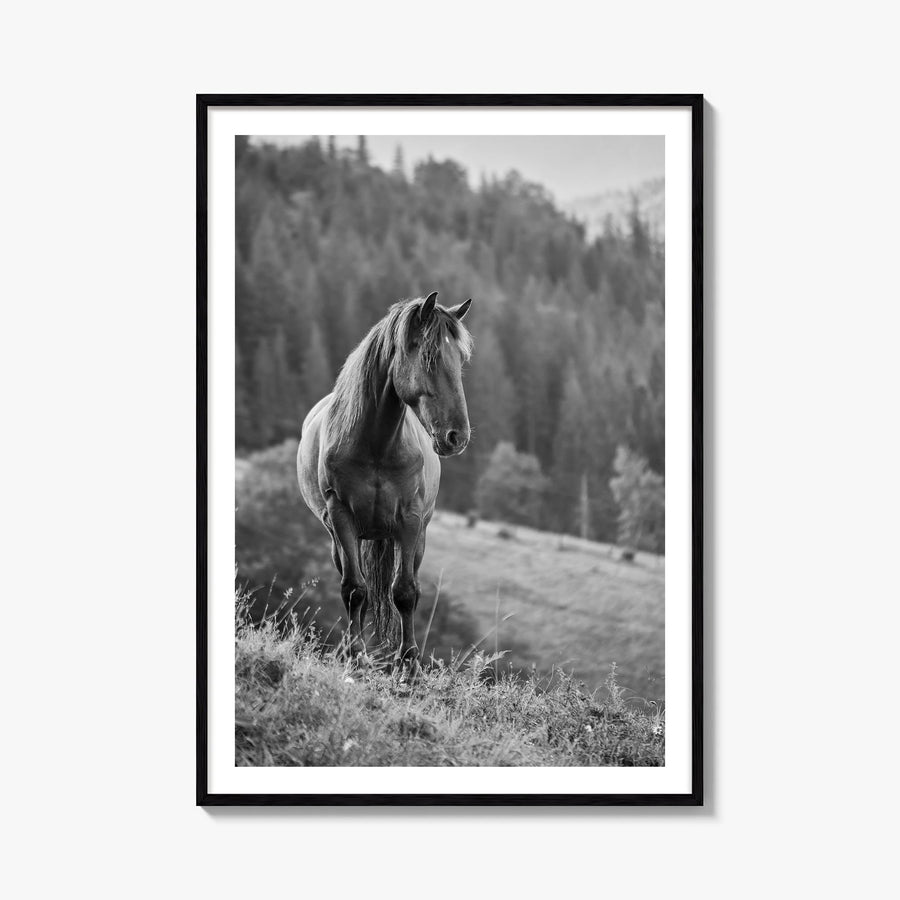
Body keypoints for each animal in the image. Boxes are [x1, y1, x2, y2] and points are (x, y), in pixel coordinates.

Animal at [297, 292, 473, 672]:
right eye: (430, 356)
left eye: (461, 360)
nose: (457, 437)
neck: (376, 445)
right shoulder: (342, 517)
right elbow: (354, 589)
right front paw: (355, 654)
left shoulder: (410, 520)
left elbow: (405, 592)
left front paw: (409, 664)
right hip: (340, 539)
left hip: (415, 537)